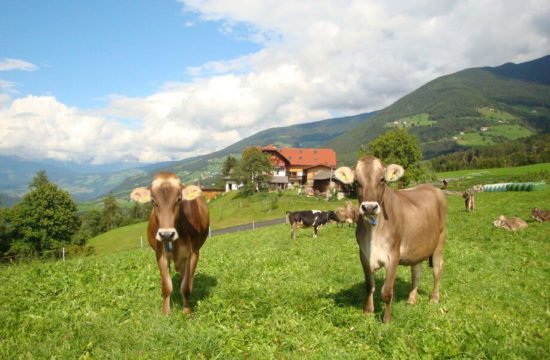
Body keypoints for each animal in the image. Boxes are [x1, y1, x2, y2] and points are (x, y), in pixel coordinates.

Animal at [130, 174, 210, 316]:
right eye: (153, 201)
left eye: (179, 199)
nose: (166, 234)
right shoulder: (160, 255)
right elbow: (166, 287)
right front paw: (166, 313)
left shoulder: (194, 253)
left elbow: (186, 286)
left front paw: (187, 311)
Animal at [336, 157, 448, 324]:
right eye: (356, 182)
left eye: (382, 179)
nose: (369, 207)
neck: (373, 232)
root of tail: (432, 187)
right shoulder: (364, 255)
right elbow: (369, 286)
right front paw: (368, 312)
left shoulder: (393, 256)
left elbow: (387, 291)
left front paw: (386, 319)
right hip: (418, 246)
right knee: (416, 272)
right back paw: (411, 299)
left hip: (440, 240)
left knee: (437, 269)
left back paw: (434, 298)